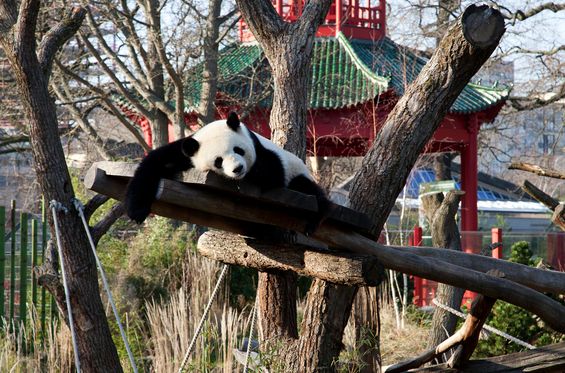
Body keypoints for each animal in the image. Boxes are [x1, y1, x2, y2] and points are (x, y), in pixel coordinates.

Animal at [125, 110, 328, 234]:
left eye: (238, 150)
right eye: (218, 161)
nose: (238, 169)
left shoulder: (263, 150)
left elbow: (272, 172)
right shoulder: (186, 151)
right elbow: (153, 163)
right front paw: (136, 210)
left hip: (299, 173)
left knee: (308, 190)